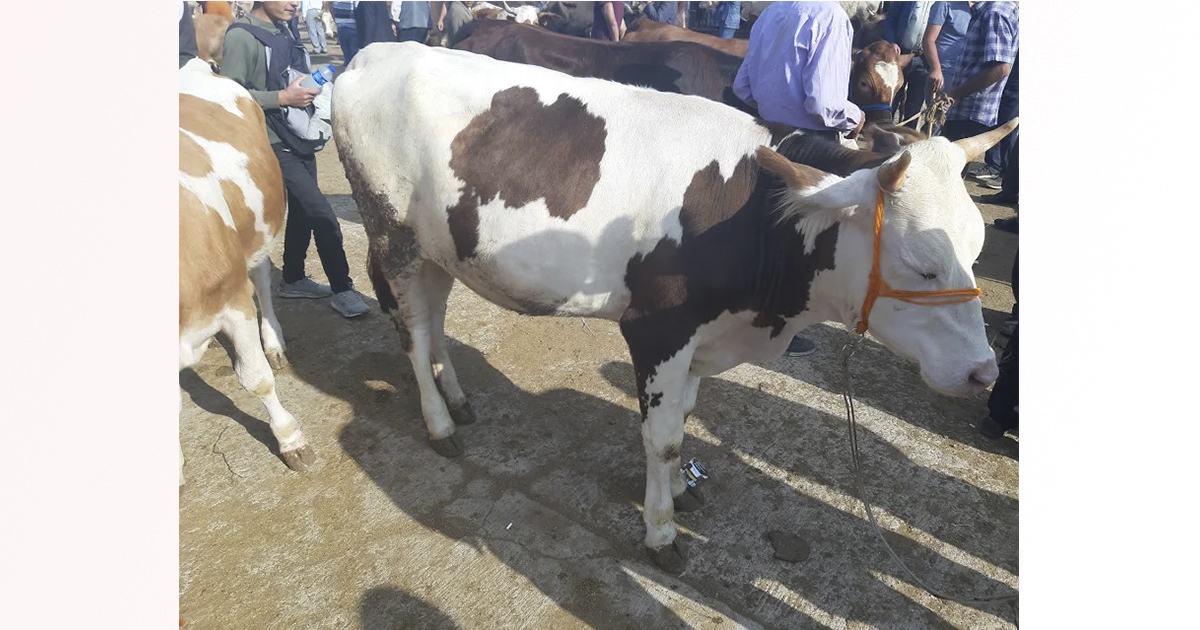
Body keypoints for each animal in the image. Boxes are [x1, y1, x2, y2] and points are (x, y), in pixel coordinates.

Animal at [177, 58, 316, 482]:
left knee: (262, 279)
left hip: (257, 232)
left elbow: (256, 379)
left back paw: (273, 342)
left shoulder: (233, 302)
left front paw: (290, 439)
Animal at [328, 42, 1012, 573]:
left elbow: (683, 422)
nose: (985, 372)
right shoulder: (657, 331)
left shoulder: (704, 338)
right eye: (922, 264)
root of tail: (374, 53)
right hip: (392, 236)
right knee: (413, 330)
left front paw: (682, 492)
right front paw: (661, 533)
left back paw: (458, 398)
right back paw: (439, 424)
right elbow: (660, 439)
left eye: (976, 248)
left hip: (442, 246)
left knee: (436, 319)